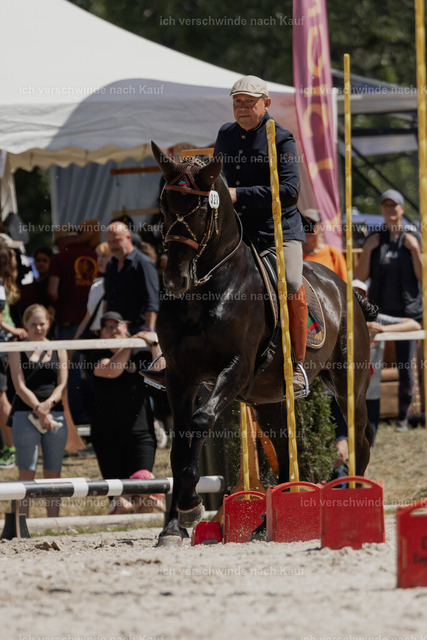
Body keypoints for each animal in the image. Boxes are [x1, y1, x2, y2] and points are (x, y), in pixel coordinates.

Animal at [150, 141, 374, 547]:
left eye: (201, 209)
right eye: (164, 204)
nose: (175, 280)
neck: (206, 290)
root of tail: (345, 287)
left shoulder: (236, 369)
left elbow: (202, 421)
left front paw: (191, 506)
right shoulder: (179, 376)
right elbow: (179, 445)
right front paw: (173, 527)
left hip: (350, 386)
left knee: (360, 441)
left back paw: (355, 506)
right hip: (271, 400)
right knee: (285, 455)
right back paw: (264, 526)